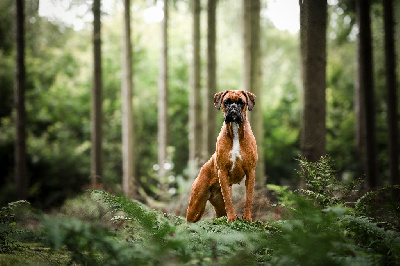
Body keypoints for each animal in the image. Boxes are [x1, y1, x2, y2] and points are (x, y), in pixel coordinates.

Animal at [187, 90, 258, 222]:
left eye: (241, 102)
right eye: (226, 102)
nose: (233, 107)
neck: (235, 131)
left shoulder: (250, 172)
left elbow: (249, 198)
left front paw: (247, 218)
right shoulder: (223, 172)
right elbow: (228, 200)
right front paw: (232, 218)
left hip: (216, 207)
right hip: (195, 206)